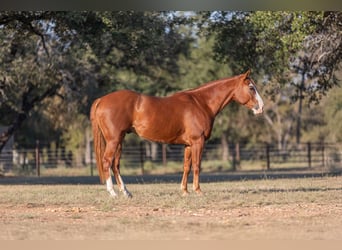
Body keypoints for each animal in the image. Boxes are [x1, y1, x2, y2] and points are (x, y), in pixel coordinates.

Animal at [89, 69, 264, 198]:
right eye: (251, 87)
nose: (261, 107)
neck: (201, 103)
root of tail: (101, 100)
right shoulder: (198, 142)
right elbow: (197, 166)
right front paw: (198, 191)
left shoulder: (188, 145)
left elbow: (186, 166)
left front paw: (185, 191)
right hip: (114, 140)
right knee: (107, 162)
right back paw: (112, 193)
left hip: (120, 140)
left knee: (115, 164)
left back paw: (126, 192)